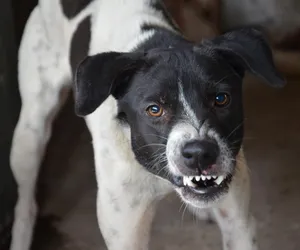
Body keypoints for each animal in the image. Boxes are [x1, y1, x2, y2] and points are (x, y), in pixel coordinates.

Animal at [9, 0, 286, 250]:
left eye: (221, 99)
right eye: (154, 109)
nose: (200, 153)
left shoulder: (239, 225)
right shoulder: (126, 235)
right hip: (30, 133)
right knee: (26, 201)